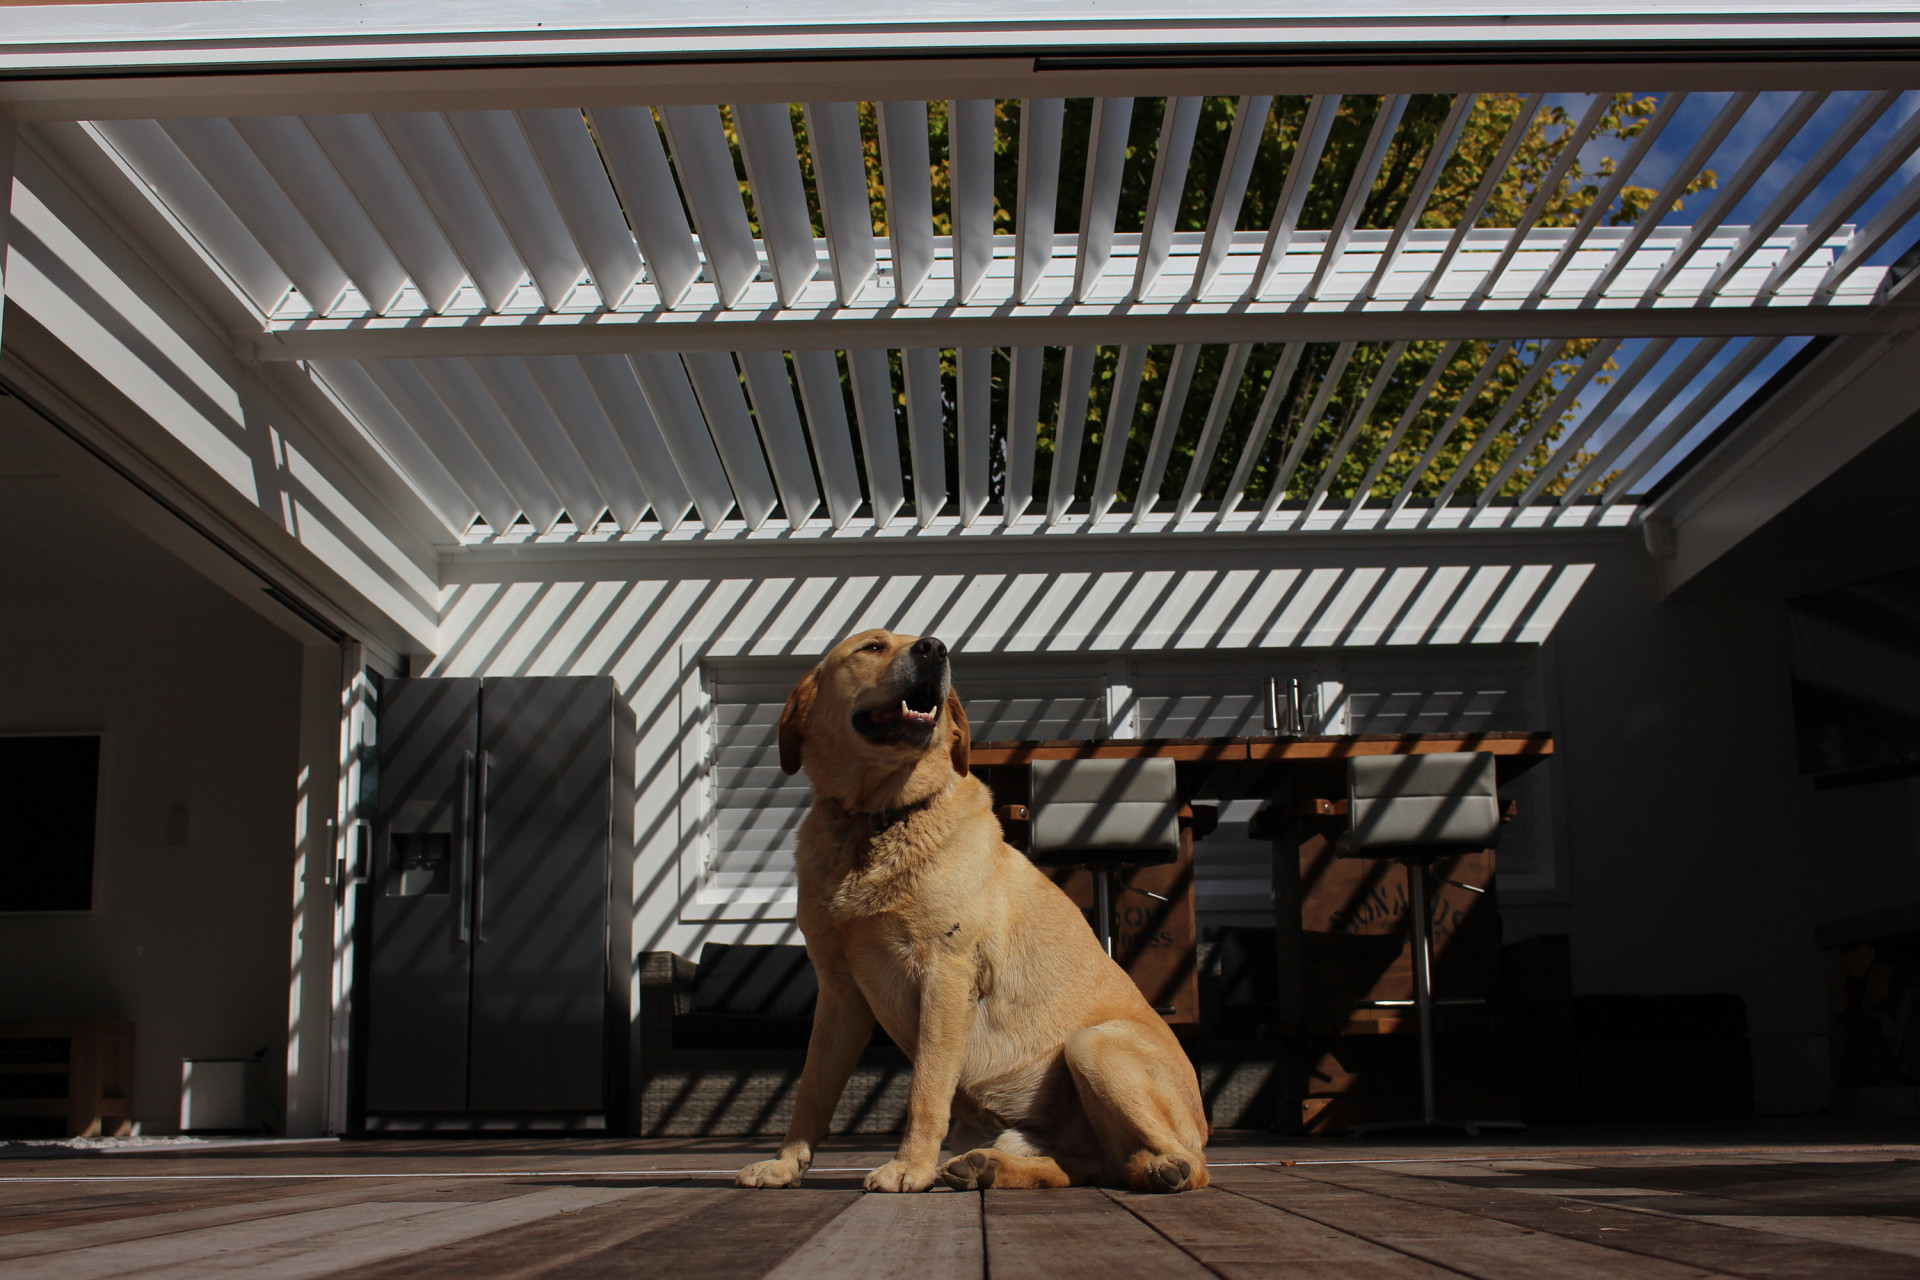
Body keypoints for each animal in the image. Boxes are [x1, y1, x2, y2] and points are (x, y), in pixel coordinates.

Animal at [733, 625, 1198, 1197]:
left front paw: (908, 1169)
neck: (875, 819)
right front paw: (784, 1166)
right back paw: (989, 1166)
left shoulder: (944, 973)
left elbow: (925, 1090)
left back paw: (1163, 1168)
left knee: (1182, 1164)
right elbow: (811, 1094)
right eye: (872, 647)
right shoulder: (840, 995)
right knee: (1085, 1167)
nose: (934, 648)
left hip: (1092, 1047)